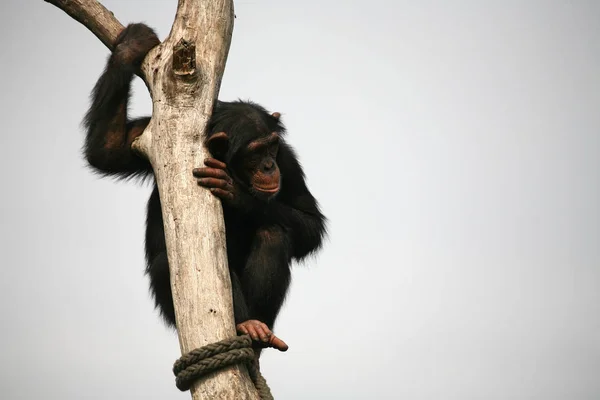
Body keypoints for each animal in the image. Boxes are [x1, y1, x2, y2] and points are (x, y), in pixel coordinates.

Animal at [82, 23, 326, 352]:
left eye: (272, 147)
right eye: (255, 153)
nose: (268, 167)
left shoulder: (288, 161)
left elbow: (311, 223)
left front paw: (238, 195)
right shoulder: (151, 132)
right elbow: (107, 149)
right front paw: (131, 45)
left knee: (273, 233)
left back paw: (256, 328)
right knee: (165, 264)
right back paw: (244, 323)